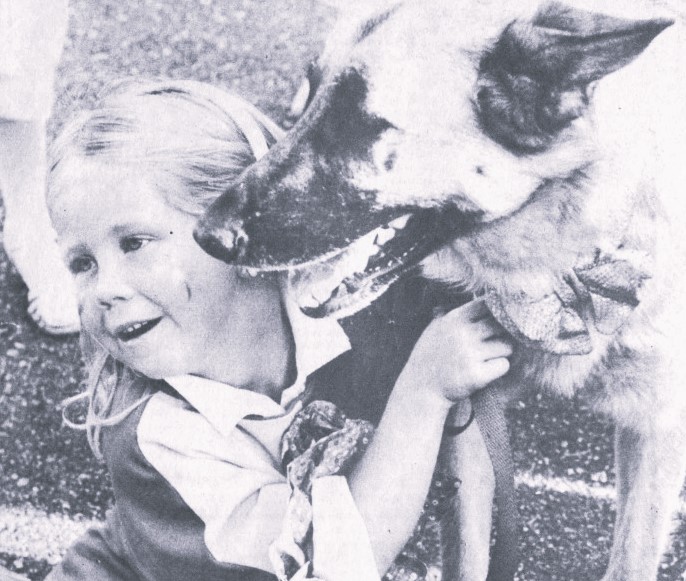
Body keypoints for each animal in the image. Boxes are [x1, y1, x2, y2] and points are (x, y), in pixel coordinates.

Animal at [194, 2, 686, 576]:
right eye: (312, 98)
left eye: (362, 126)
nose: (205, 235)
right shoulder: (471, 425)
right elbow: (468, 554)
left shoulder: (657, 433)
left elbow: (631, 558)